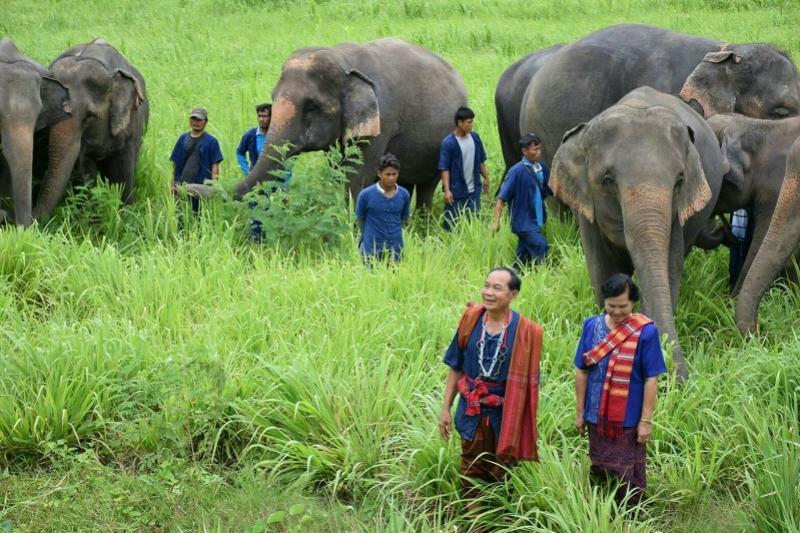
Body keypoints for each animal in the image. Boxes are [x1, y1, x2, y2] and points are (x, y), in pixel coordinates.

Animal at [233, 38, 467, 208]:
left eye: (312, 106)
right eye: (272, 97)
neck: (343, 60)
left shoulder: (382, 120)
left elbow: (357, 175)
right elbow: (339, 169)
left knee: (427, 186)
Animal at [550, 87, 726, 380]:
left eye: (679, 181)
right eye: (608, 180)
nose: (680, 379)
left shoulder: (676, 218)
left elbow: (668, 270)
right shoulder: (588, 214)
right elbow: (603, 271)